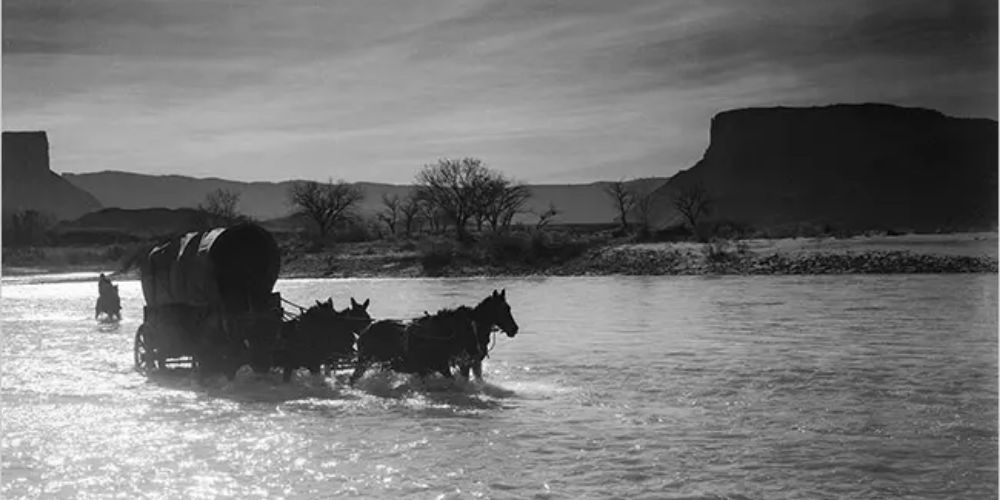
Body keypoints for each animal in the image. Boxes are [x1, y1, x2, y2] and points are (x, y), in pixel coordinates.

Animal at [352, 288, 520, 384]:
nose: (515, 329)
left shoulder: (468, 363)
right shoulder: (445, 365)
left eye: (509, 307)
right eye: (504, 309)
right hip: (365, 361)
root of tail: (365, 331)